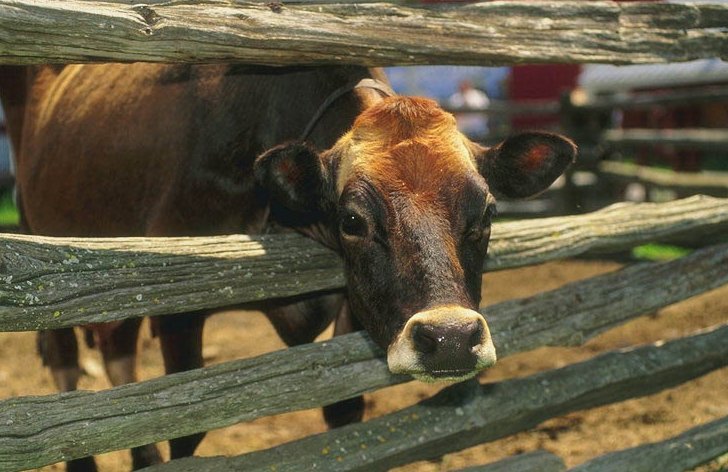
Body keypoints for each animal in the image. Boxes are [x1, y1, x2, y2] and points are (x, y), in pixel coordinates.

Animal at [0, 63, 576, 472]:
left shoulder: (352, 304)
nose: (451, 338)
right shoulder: (177, 301)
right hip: (49, 241)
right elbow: (183, 427)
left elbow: (345, 414)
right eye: (352, 220)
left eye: (488, 213)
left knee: (115, 346)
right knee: (67, 359)